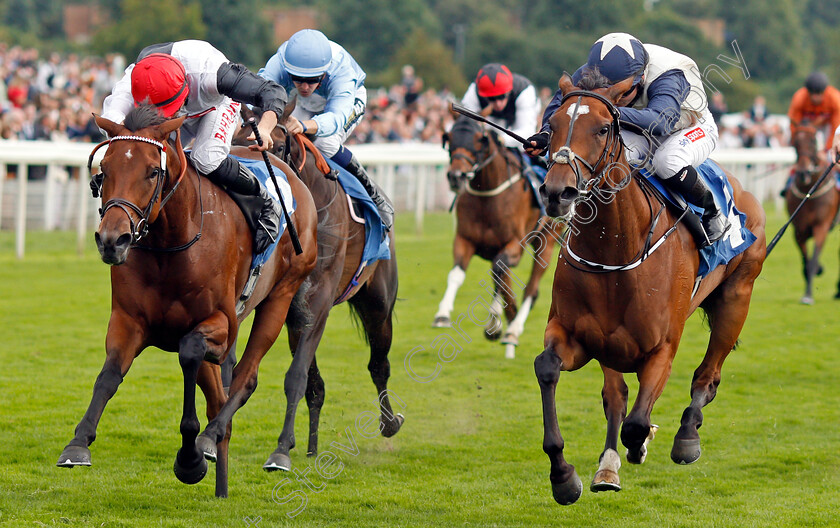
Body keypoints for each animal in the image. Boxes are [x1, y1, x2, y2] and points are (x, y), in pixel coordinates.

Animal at [55, 105, 318, 498]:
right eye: (105, 170)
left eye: (153, 171)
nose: (112, 240)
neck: (172, 243)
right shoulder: (128, 320)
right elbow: (109, 375)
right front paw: (78, 443)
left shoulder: (221, 324)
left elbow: (190, 352)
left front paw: (191, 457)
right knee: (218, 399)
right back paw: (221, 482)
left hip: (282, 294)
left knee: (244, 379)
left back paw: (211, 440)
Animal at [235, 101, 406, 472]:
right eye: (232, 141)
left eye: (273, 146)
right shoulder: (291, 310)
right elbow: (310, 383)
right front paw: (294, 444)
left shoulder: (318, 303)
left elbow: (297, 376)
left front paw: (281, 450)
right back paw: (313, 446)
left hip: (378, 304)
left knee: (379, 365)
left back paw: (389, 423)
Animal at [434, 115, 556, 358]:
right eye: (449, 138)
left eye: (479, 140)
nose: (456, 177)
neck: (487, 196)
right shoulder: (464, 240)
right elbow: (456, 274)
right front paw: (443, 314)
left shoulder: (515, 244)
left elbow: (500, 271)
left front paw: (502, 320)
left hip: (547, 239)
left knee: (531, 288)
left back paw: (513, 330)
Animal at [536, 73, 764, 504]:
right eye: (551, 125)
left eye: (603, 128)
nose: (558, 192)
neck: (615, 247)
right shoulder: (577, 337)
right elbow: (549, 369)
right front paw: (563, 476)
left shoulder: (662, 348)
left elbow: (638, 423)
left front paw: (642, 444)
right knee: (617, 396)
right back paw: (608, 466)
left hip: (736, 297)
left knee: (707, 376)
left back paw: (686, 437)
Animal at [784, 121, 836, 304]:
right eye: (794, 143)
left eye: (814, 141)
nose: (803, 172)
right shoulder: (799, 230)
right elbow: (806, 262)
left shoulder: (822, 226)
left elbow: (813, 261)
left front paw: (807, 295)